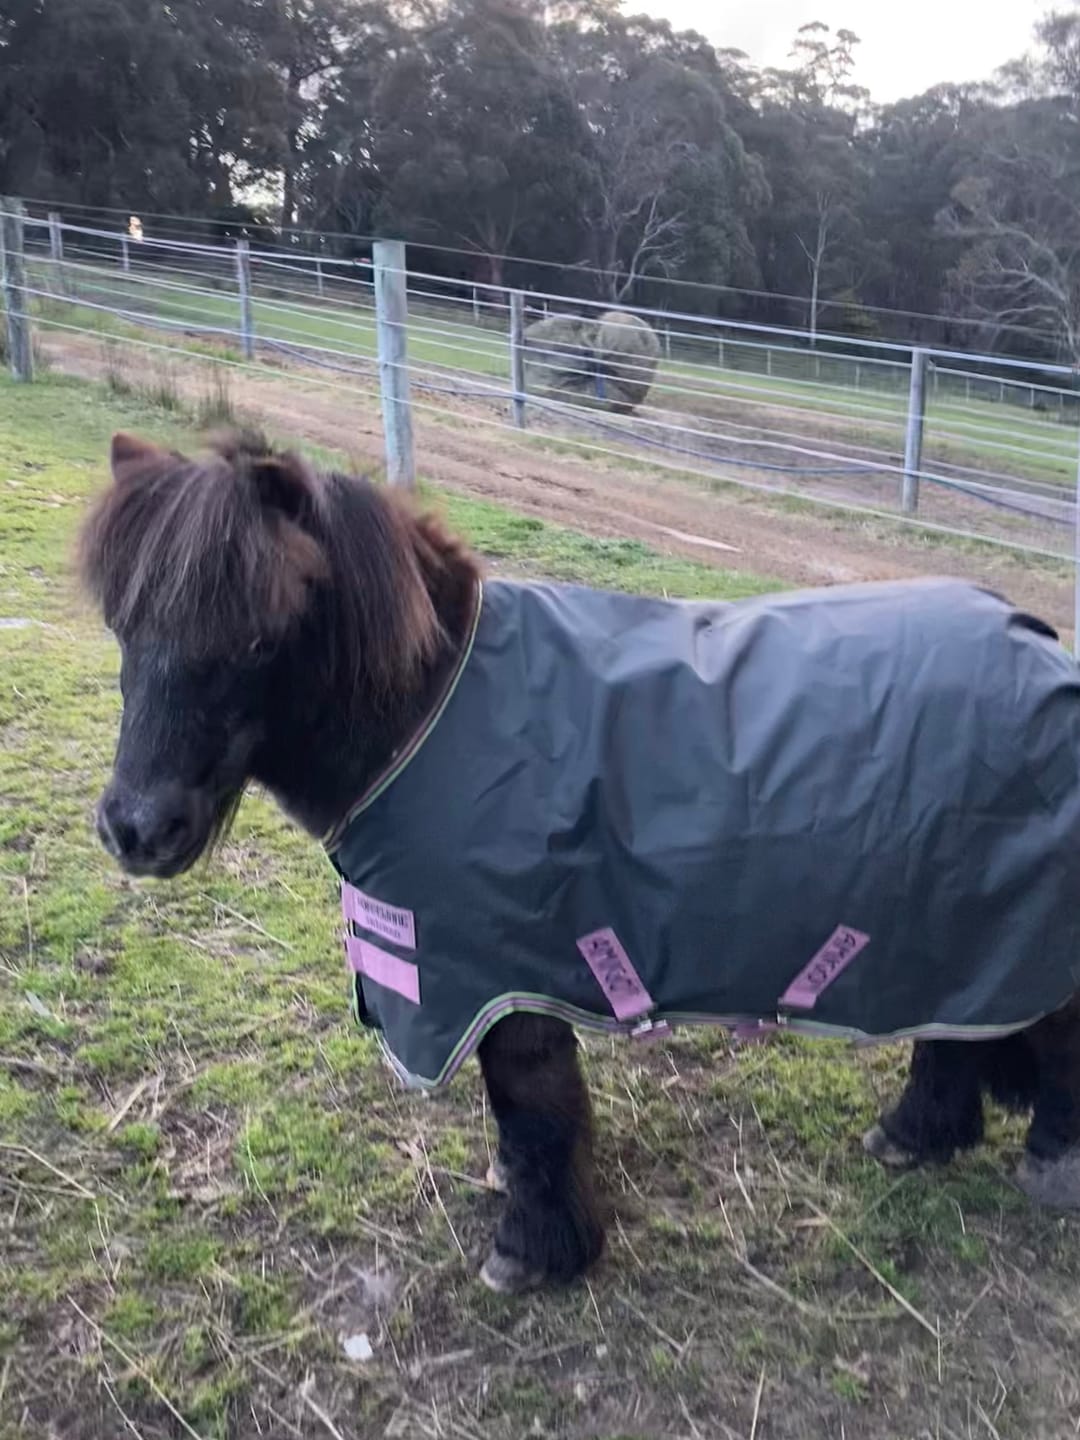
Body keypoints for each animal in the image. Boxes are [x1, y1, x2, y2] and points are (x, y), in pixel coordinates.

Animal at [80, 429, 1080, 1295]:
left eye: (257, 637)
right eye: (123, 626)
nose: (136, 827)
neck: (436, 712)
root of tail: (1037, 639)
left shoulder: (501, 977)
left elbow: (533, 1107)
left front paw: (533, 1249)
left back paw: (1051, 1163)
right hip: (950, 923)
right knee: (958, 1027)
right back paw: (917, 1134)